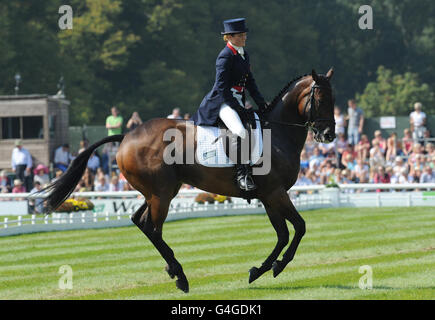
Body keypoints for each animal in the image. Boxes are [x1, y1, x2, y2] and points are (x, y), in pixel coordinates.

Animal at [38, 67, 338, 292]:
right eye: (321, 100)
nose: (329, 135)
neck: (277, 134)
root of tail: (127, 136)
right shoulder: (275, 193)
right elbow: (298, 228)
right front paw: (274, 267)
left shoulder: (269, 196)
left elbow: (284, 233)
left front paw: (261, 270)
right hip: (161, 194)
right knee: (153, 228)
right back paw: (181, 277)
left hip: (160, 191)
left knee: (140, 221)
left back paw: (172, 269)